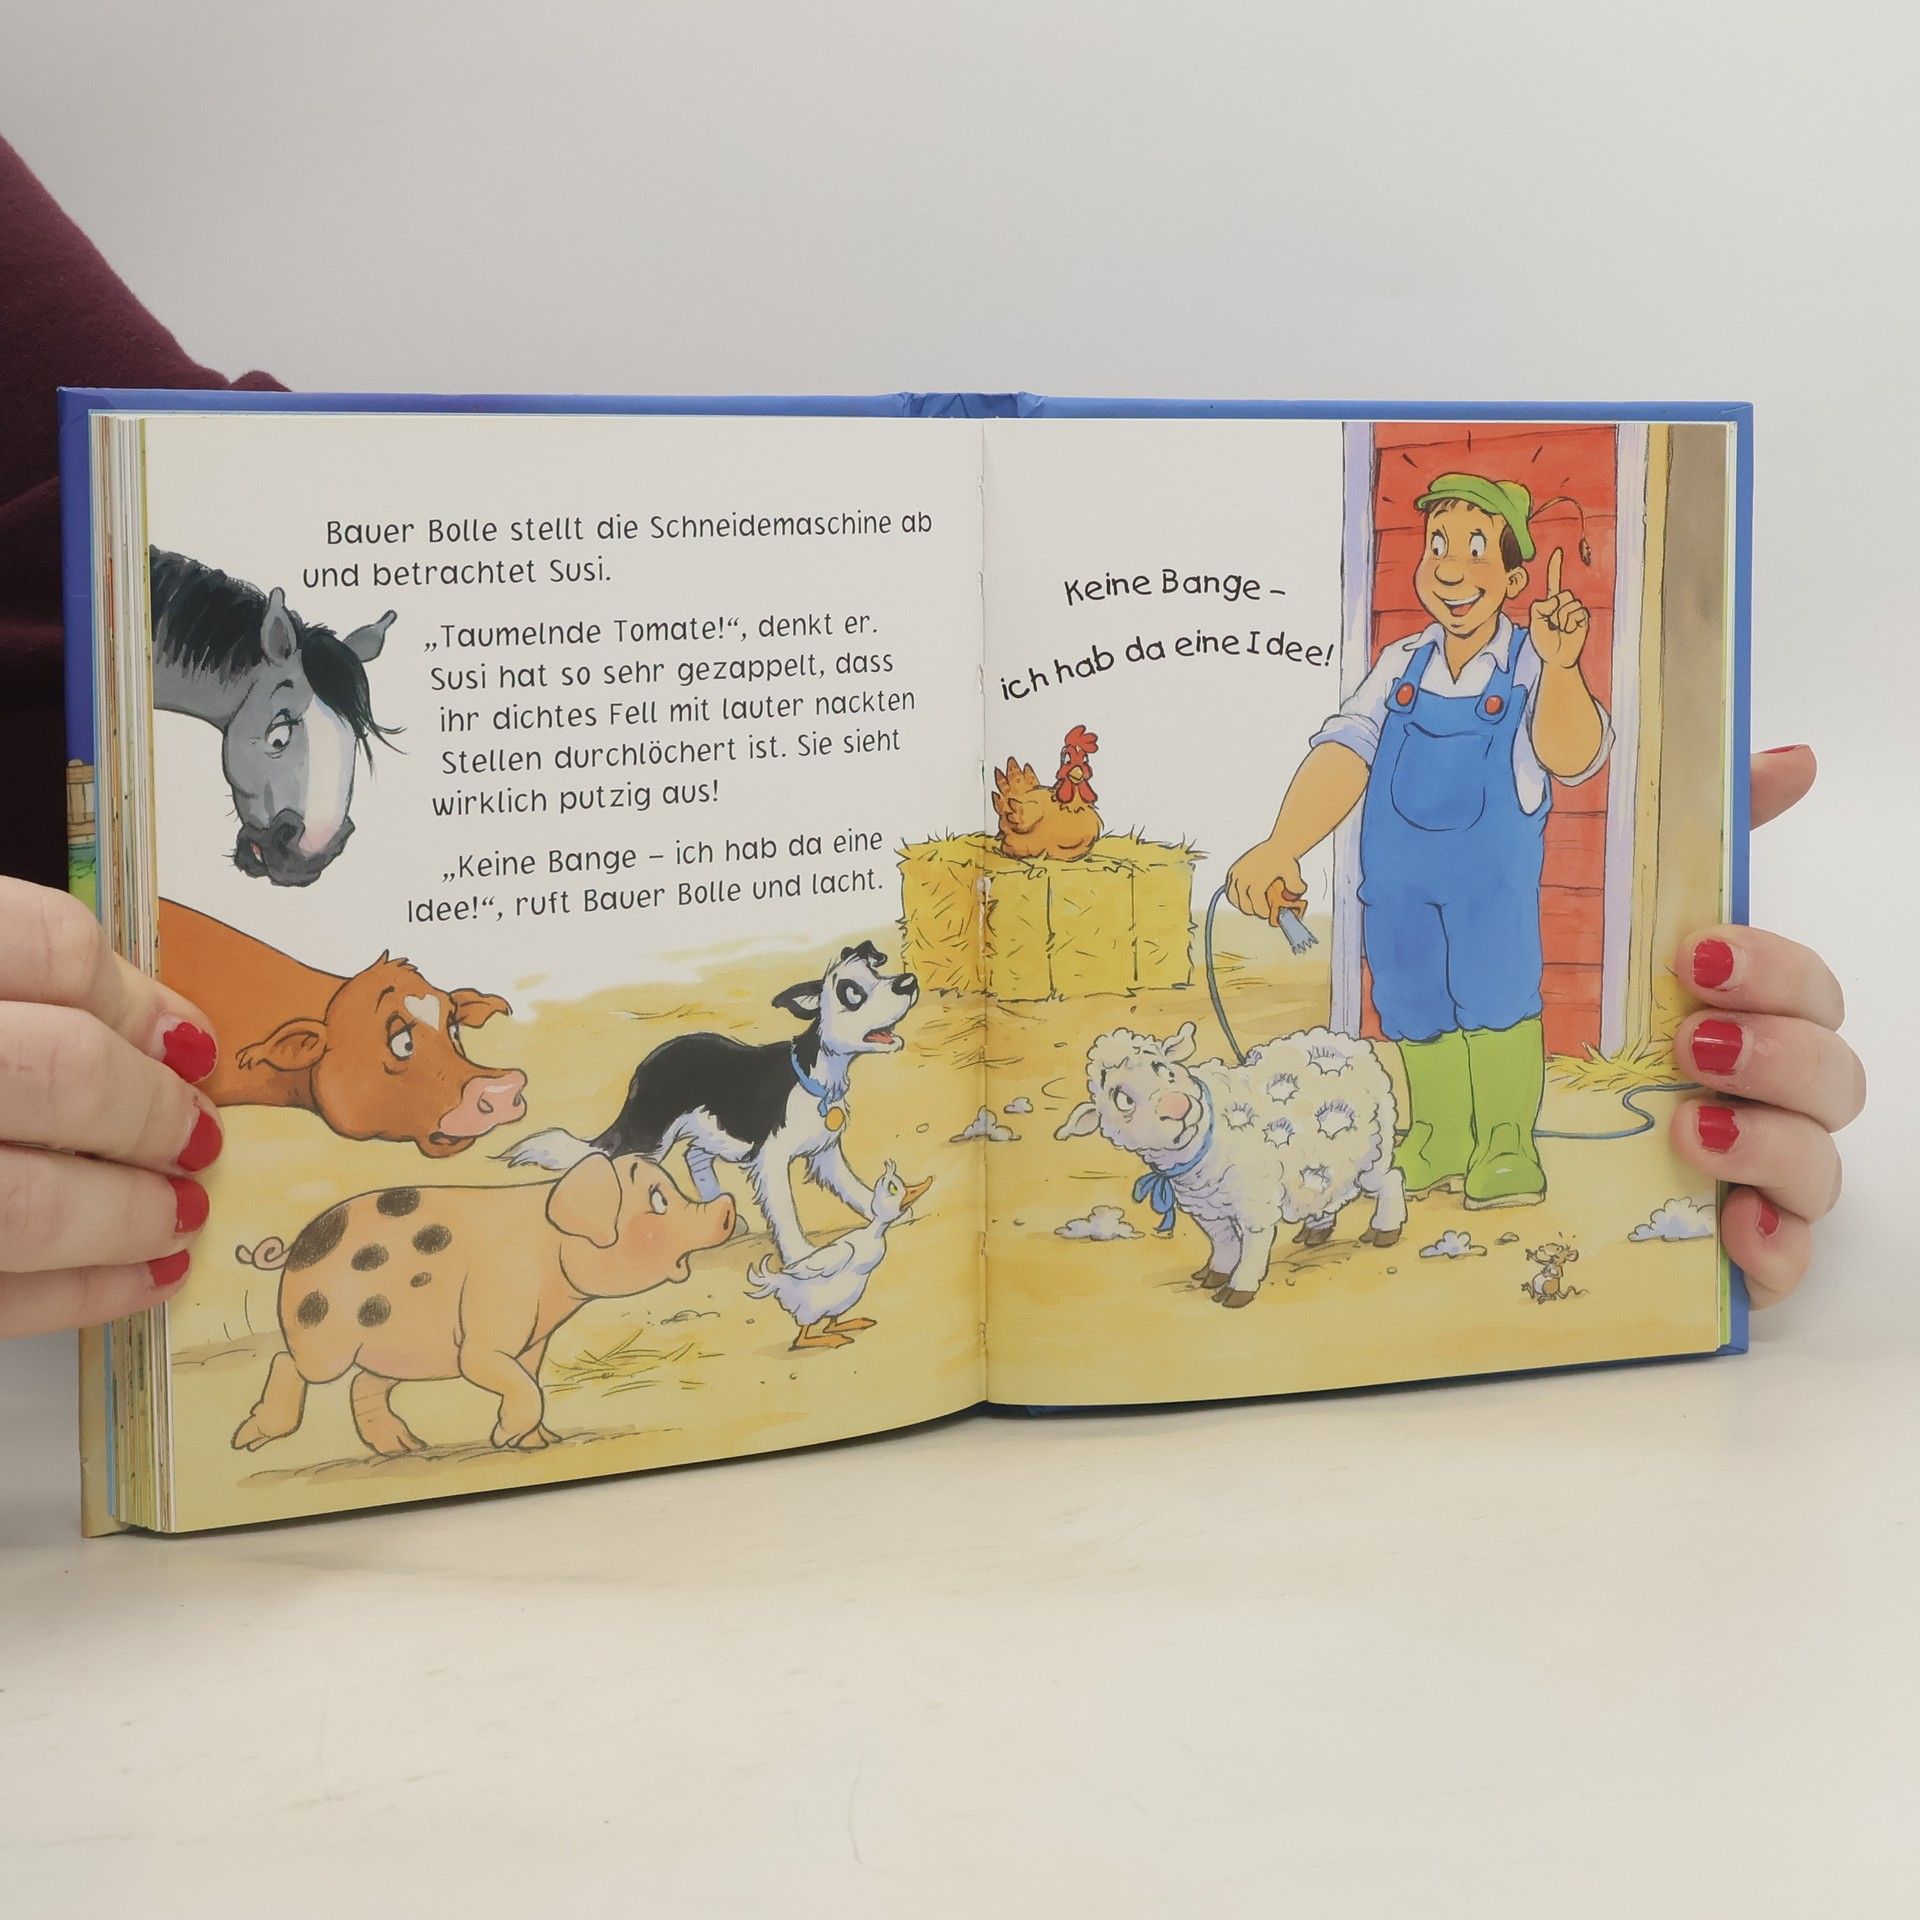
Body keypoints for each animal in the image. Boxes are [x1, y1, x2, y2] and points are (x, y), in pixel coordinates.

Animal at [505, 942, 920, 1270]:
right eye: (852, 992)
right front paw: (802, 1256)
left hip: (713, 1130)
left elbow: (853, 1186)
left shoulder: (825, 1153)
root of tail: (645, 1068)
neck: (814, 1076)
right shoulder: (771, 1160)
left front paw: (885, 1211)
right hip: (651, 1140)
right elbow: (785, 1209)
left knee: (694, 1156)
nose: (908, 982)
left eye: (877, 970)